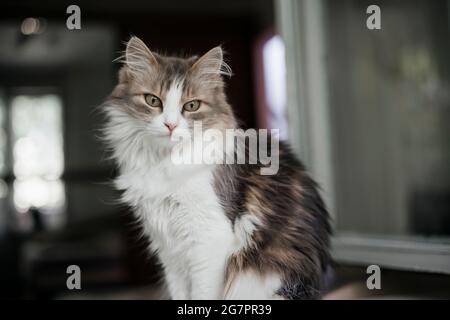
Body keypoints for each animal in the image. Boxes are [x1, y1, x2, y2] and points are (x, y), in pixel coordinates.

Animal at [103, 36, 334, 298]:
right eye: (153, 101)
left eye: (192, 106)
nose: (170, 125)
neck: (164, 163)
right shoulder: (168, 248)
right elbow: (180, 292)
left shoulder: (209, 241)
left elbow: (202, 293)